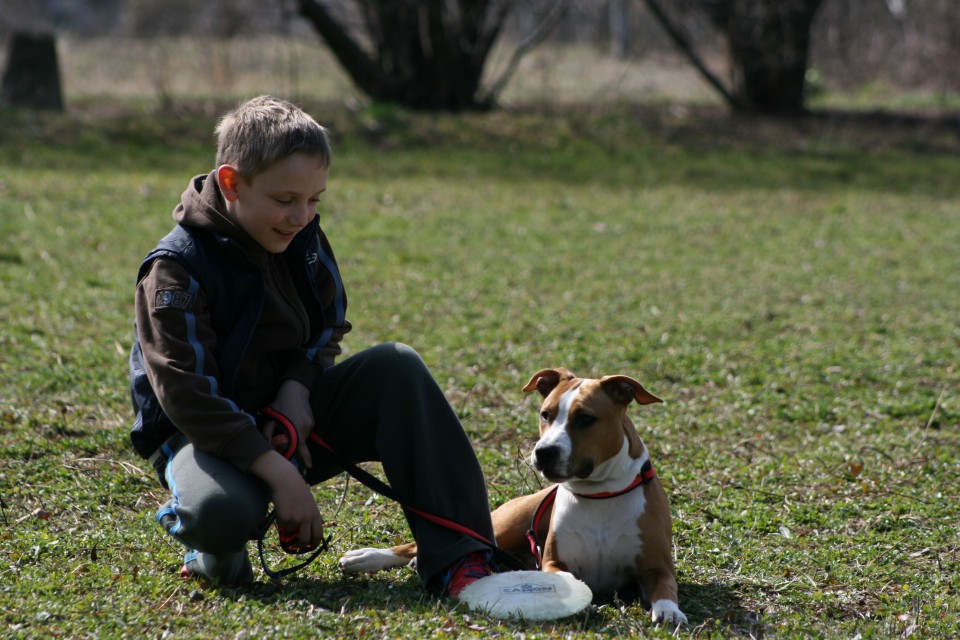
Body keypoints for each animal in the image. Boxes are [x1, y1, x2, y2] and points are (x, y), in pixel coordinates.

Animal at [342, 370, 688, 624]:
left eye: (585, 419)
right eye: (545, 414)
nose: (544, 451)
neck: (599, 493)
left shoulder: (658, 567)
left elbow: (665, 588)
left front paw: (669, 611)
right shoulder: (553, 561)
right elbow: (565, 577)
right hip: (505, 524)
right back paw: (367, 556)